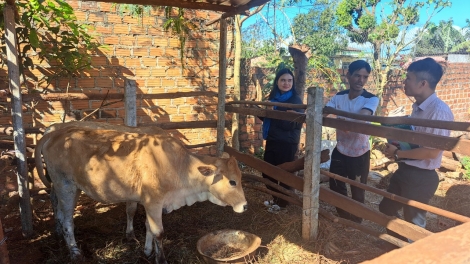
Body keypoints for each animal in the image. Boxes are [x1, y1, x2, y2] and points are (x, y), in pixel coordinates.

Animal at [35, 125, 248, 262]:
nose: (245, 206)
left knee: (60, 215)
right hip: (65, 186)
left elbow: (148, 227)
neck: (179, 166)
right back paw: (74, 252)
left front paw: (147, 251)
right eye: (232, 181)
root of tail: (54, 133)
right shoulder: (153, 201)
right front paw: (160, 259)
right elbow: (158, 232)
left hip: (71, 188)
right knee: (68, 221)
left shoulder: (151, 203)